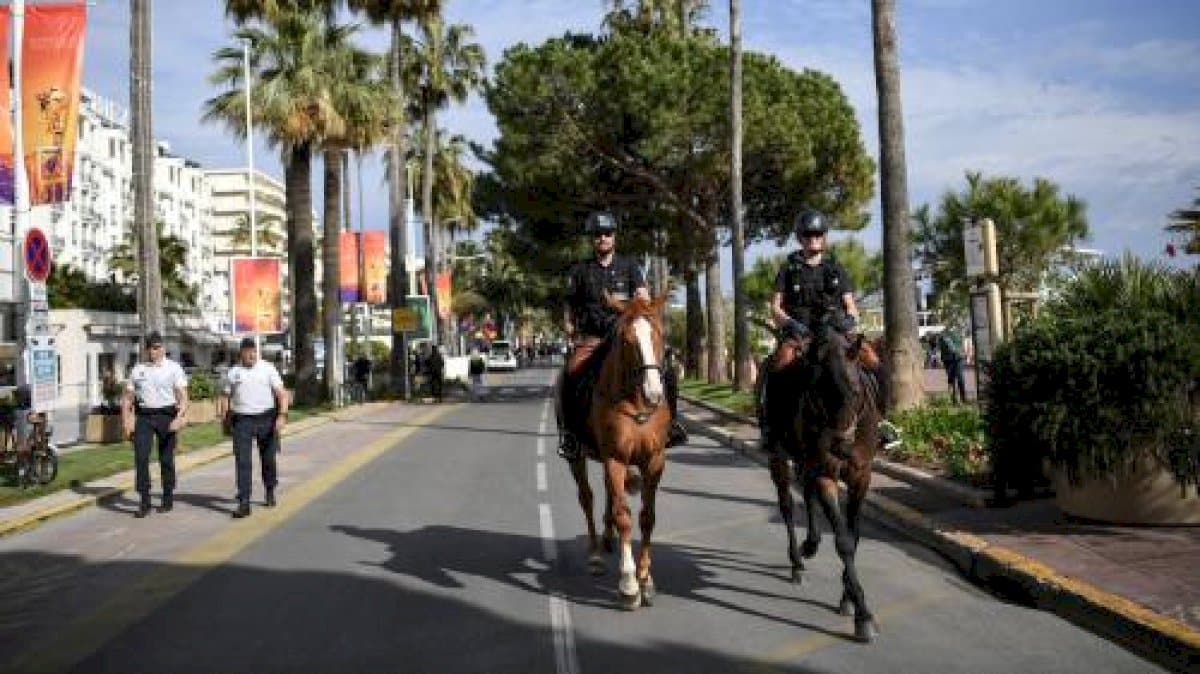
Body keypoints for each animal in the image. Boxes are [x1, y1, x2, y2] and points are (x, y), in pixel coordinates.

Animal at [566, 293, 672, 609]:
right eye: (626, 340)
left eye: (659, 334)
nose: (654, 392)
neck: (635, 402)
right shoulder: (615, 458)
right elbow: (625, 516)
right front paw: (629, 584)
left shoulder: (654, 461)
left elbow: (647, 517)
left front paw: (646, 579)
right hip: (576, 456)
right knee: (587, 498)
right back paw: (595, 555)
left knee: (608, 494)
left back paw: (607, 535)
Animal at [768, 326, 883, 638]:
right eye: (818, 394)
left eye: (856, 391)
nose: (840, 447)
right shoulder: (826, 473)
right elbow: (843, 541)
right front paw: (863, 613)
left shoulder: (861, 476)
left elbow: (854, 537)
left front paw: (848, 597)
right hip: (779, 455)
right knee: (786, 504)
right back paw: (797, 560)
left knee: (806, 493)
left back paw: (811, 543)